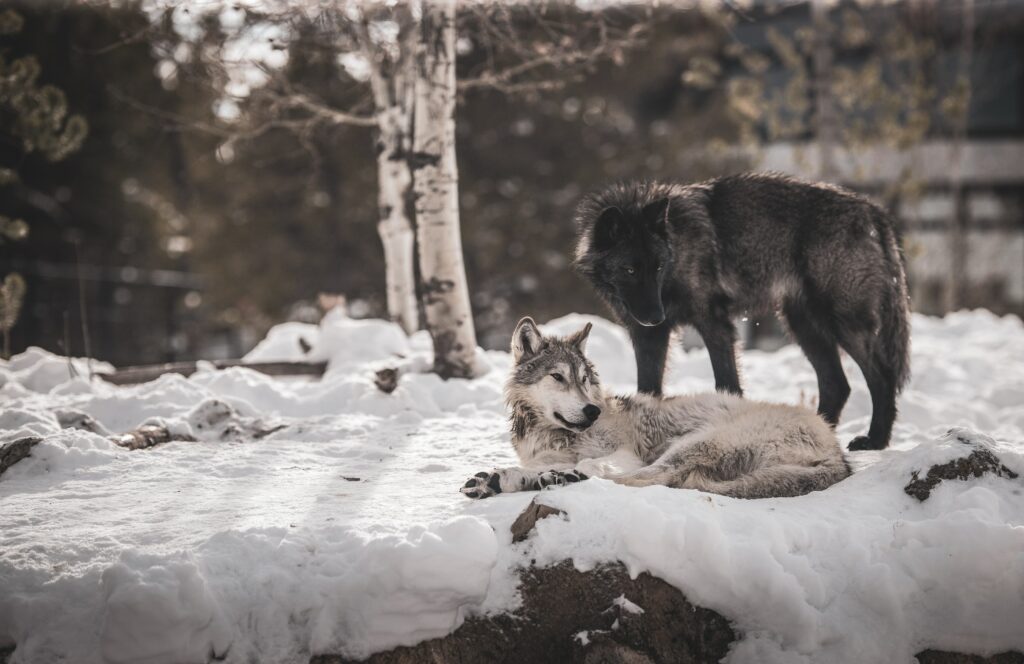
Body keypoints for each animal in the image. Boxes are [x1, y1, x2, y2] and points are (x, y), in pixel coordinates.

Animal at [460, 317, 849, 500]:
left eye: (584, 378)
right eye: (558, 377)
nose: (592, 411)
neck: (553, 434)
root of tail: (838, 453)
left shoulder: (624, 454)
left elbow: (595, 465)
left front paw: (557, 474)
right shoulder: (545, 455)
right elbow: (541, 465)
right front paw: (504, 476)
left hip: (692, 443)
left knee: (650, 479)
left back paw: (559, 479)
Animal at [573, 172, 911, 451]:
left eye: (657, 267)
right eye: (630, 270)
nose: (656, 316)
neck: (678, 246)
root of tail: (872, 210)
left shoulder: (714, 324)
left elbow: (727, 383)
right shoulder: (648, 336)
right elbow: (648, 389)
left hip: (843, 323)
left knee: (882, 377)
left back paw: (875, 440)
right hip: (803, 325)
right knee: (837, 384)